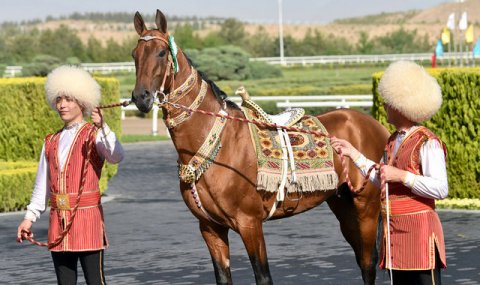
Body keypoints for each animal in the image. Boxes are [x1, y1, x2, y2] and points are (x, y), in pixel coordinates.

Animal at [130, 9, 390, 284]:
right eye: (134, 54)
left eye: (161, 52)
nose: (141, 97)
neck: (217, 145)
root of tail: (374, 125)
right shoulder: (210, 228)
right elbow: (223, 276)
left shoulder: (250, 224)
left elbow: (263, 275)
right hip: (343, 206)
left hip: (366, 208)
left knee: (368, 263)